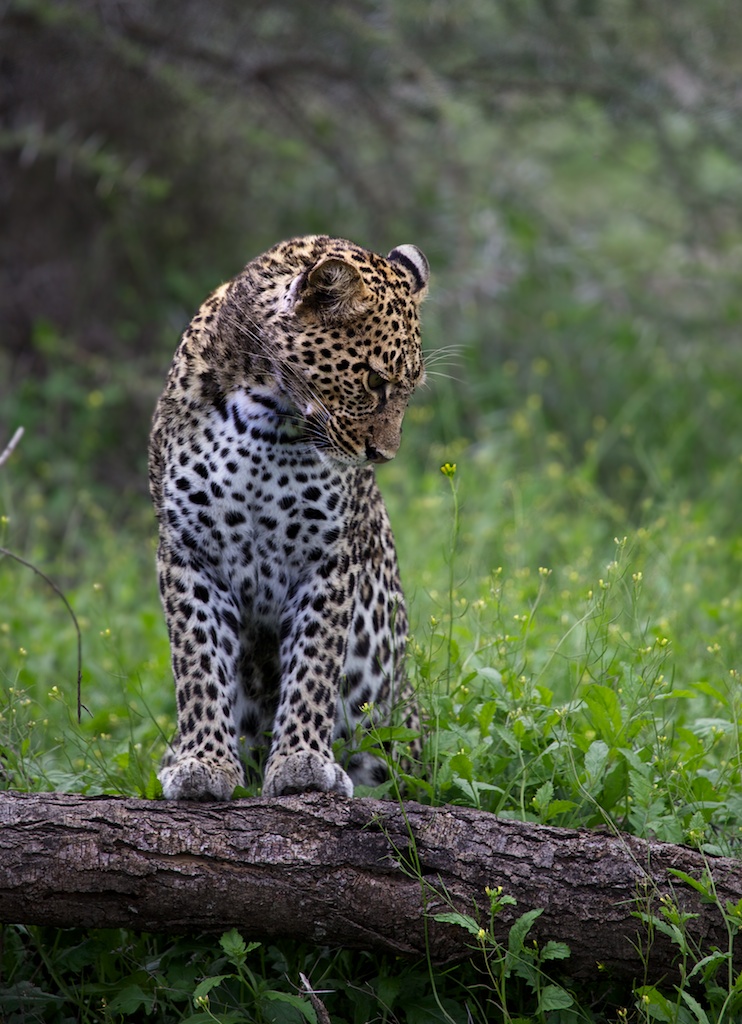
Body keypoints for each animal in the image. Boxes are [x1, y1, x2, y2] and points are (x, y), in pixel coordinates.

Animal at [149, 234, 429, 801]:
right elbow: (198, 661)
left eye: (410, 390)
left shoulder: (329, 558)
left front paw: (303, 762)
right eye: (374, 381)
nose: (384, 455)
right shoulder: (188, 551)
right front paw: (203, 763)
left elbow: (315, 664)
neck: (264, 416)